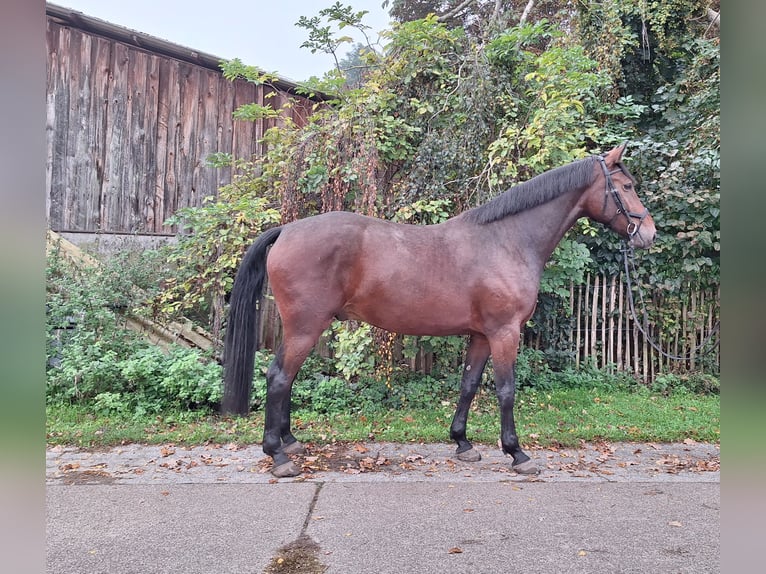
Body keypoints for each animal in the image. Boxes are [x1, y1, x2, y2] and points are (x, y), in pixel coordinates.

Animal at [221, 143, 656, 478]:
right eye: (627, 186)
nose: (649, 234)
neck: (506, 240)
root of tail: (287, 230)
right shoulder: (505, 332)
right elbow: (506, 390)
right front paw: (517, 453)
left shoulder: (481, 335)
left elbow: (468, 385)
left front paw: (462, 442)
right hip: (305, 327)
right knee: (279, 377)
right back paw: (278, 455)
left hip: (302, 328)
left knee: (285, 379)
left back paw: (290, 442)